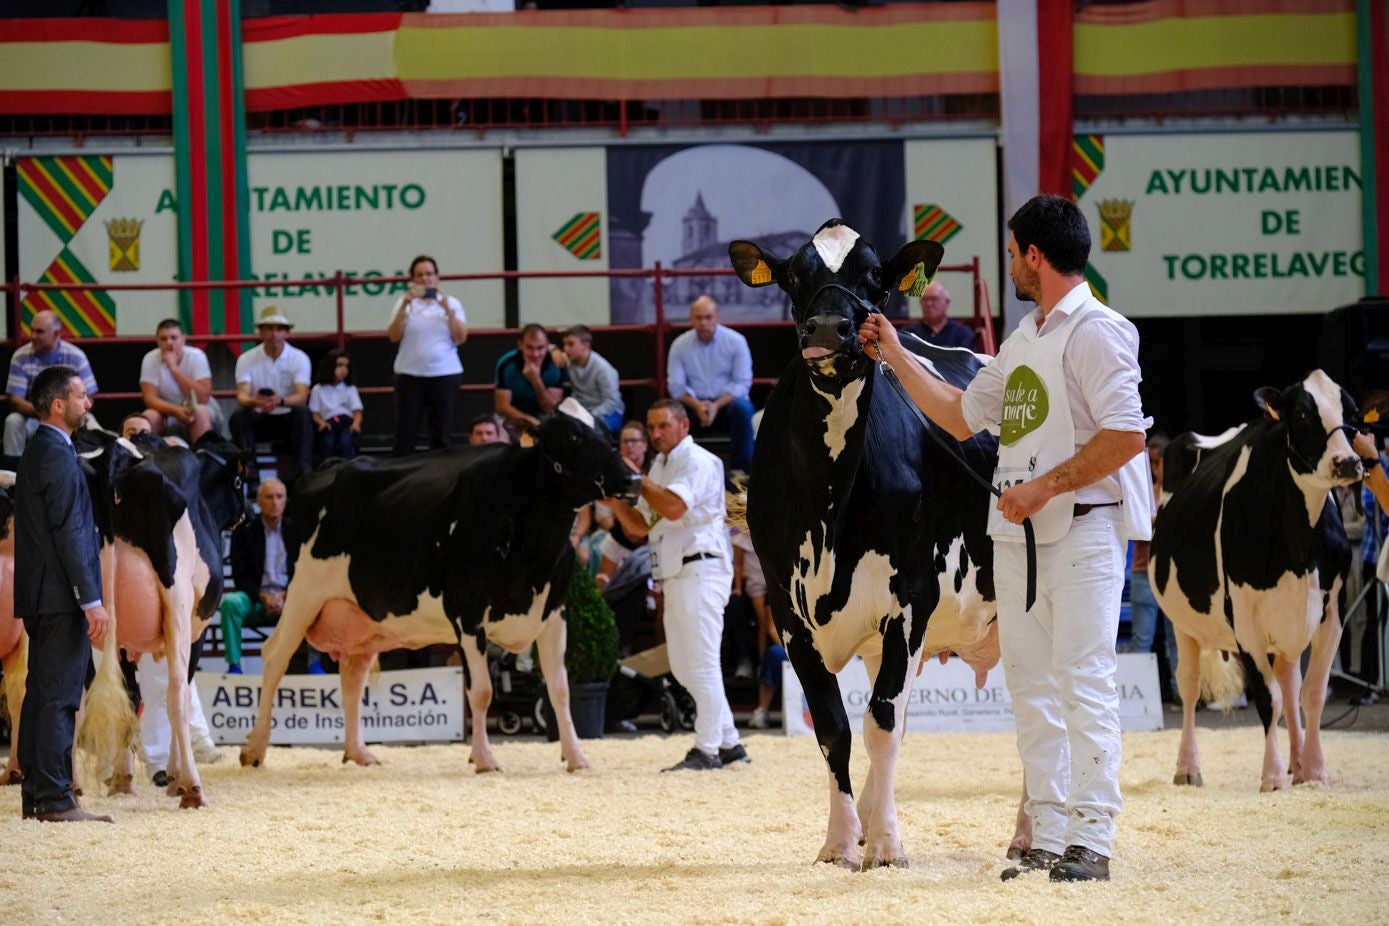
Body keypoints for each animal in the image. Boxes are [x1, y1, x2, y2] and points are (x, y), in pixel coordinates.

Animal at [241, 402, 641, 771]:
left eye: (606, 431)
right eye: (572, 436)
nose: (633, 480)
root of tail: (332, 466)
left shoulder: (554, 611)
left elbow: (560, 689)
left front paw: (576, 757)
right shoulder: (467, 613)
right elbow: (481, 691)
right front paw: (485, 759)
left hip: (367, 619)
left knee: (353, 674)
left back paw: (359, 753)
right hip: (303, 594)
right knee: (275, 656)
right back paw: (254, 750)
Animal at [727, 220, 1000, 871]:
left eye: (876, 276)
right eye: (793, 275)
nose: (830, 329)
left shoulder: (910, 602)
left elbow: (878, 722)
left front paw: (885, 845)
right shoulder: (788, 613)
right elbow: (834, 726)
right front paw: (841, 842)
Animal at [1150, 372, 1355, 794]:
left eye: (1353, 412)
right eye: (1302, 413)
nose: (1349, 462)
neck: (1299, 548)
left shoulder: (1333, 609)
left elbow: (1311, 693)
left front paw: (1313, 771)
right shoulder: (1245, 618)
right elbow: (1267, 697)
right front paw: (1273, 776)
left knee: (1291, 683)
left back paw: (1297, 762)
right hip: (1182, 623)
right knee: (1190, 685)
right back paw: (1188, 768)